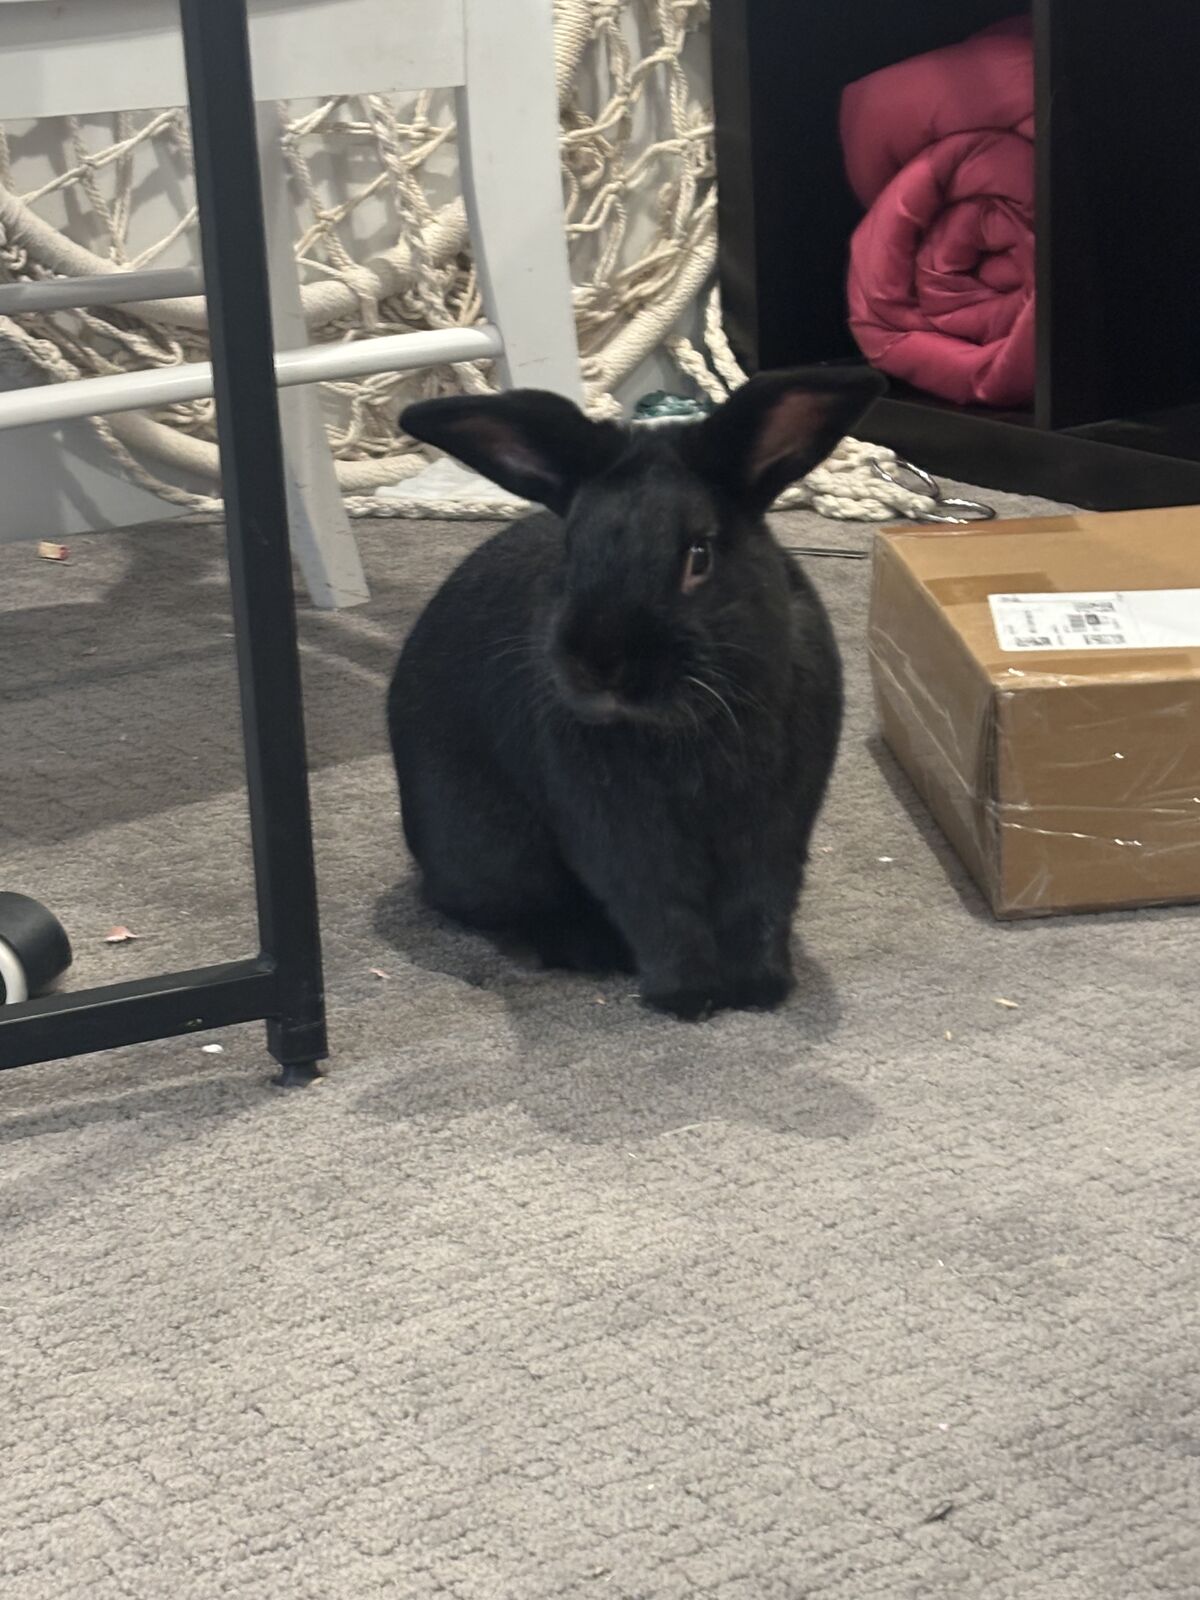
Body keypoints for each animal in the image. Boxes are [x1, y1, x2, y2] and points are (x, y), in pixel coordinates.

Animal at [388, 366, 885, 1020]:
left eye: (699, 555)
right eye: (570, 551)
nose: (601, 664)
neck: (685, 726)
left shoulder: (776, 827)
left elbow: (761, 902)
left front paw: (760, 991)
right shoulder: (619, 833)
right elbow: (659, 906)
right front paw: (689, 998)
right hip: (487, 855)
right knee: (512, 912)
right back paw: (592, 949)